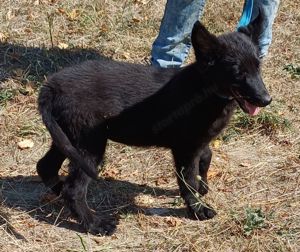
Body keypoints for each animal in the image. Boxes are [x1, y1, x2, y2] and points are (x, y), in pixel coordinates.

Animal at [37, 13, 272, 234]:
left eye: (258, 66)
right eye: (237, 72)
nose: (266, 100)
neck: (205, 89)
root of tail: (51, 86)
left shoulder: (198, 142)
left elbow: (206, 158)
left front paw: (203, 187)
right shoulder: (185, 149)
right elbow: (188, 180)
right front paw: (197, 209)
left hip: (68, 139)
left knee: (45, 167)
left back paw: (59, 193)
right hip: (90, 145)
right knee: (74, 189)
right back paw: (95, 224)